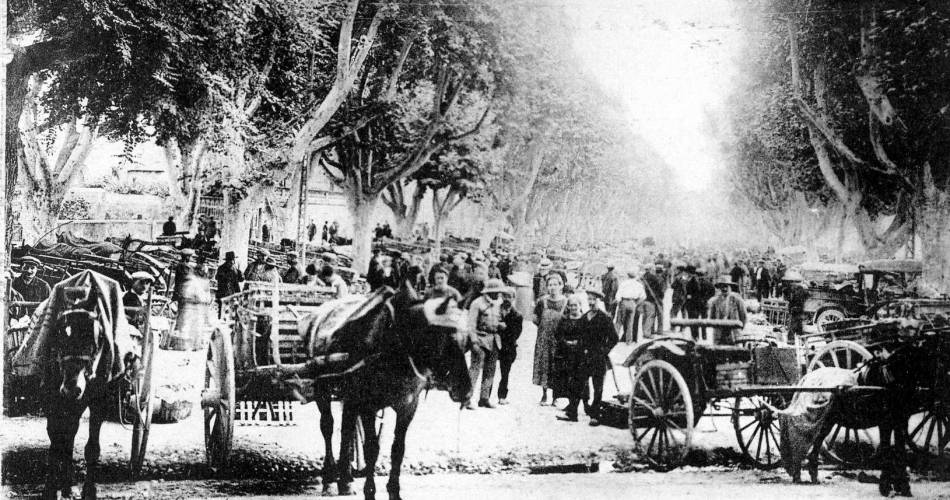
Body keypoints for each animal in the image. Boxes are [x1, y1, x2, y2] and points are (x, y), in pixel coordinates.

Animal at [302, 282, 472, 500]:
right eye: (446, 338)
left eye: (467, 340)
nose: (465, 390)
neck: (395, 347)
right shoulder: (367, 405)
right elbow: (371, 449)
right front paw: (370, 491)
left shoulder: (408, 406)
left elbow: (397, 449)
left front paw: (394, 491)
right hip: (322, 389)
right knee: (328, 427)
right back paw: (330, 479)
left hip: (350, 395)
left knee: (347, 428)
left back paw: (346, 479)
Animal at [784, 336, 948, 496]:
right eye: (930, 363)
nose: (938, 394)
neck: (890, 382)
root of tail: (808, 377)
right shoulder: (885, 422)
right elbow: (886, 449)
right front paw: (886, 487)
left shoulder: (901, 421)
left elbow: (900, 451)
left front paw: (903, 487)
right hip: (823, 419)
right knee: (814, 442)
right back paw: (804, 474)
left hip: (827, 420)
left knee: (816, 444)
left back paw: (812, 475)